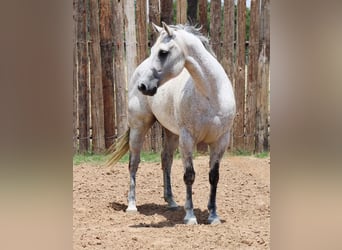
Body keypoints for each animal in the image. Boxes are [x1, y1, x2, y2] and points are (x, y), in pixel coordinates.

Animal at [108, 22, 236, 225]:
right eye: (153, 50)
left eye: (163, 52)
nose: (143, 86)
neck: (211, 95)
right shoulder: (187, 139)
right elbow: (189, 176)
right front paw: (190, 216)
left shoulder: (220, 141)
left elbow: (213, 177)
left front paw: (213, 215)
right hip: (139, 128)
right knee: (133, 163)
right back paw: (132, 206)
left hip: (171, 133)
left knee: (166, 160)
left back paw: (172, 202)